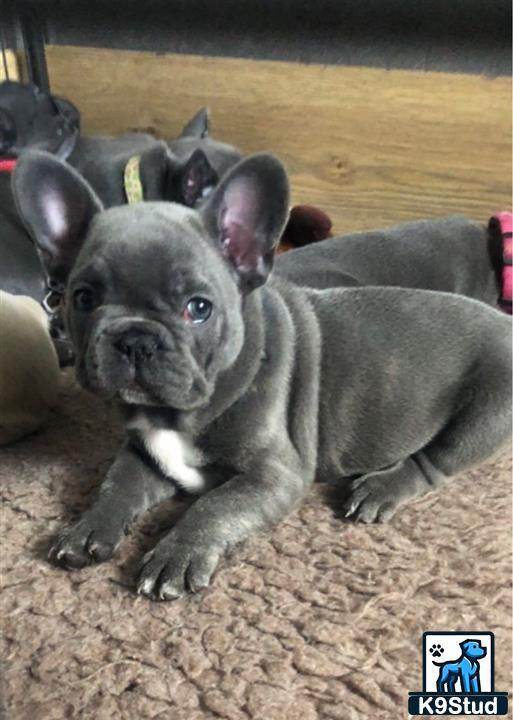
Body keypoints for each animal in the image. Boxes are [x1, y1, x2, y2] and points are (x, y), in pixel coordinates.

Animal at [13, 149, 512, 600]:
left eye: (198, 307)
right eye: (82, 298)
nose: (136, 338)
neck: (175, 415)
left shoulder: (274, 474)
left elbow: (214, 505)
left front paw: (176, 555)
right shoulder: (145, 454)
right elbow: (116, 483)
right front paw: (87, 528)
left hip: (486, 414)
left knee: (437, 462)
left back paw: (381, 487)